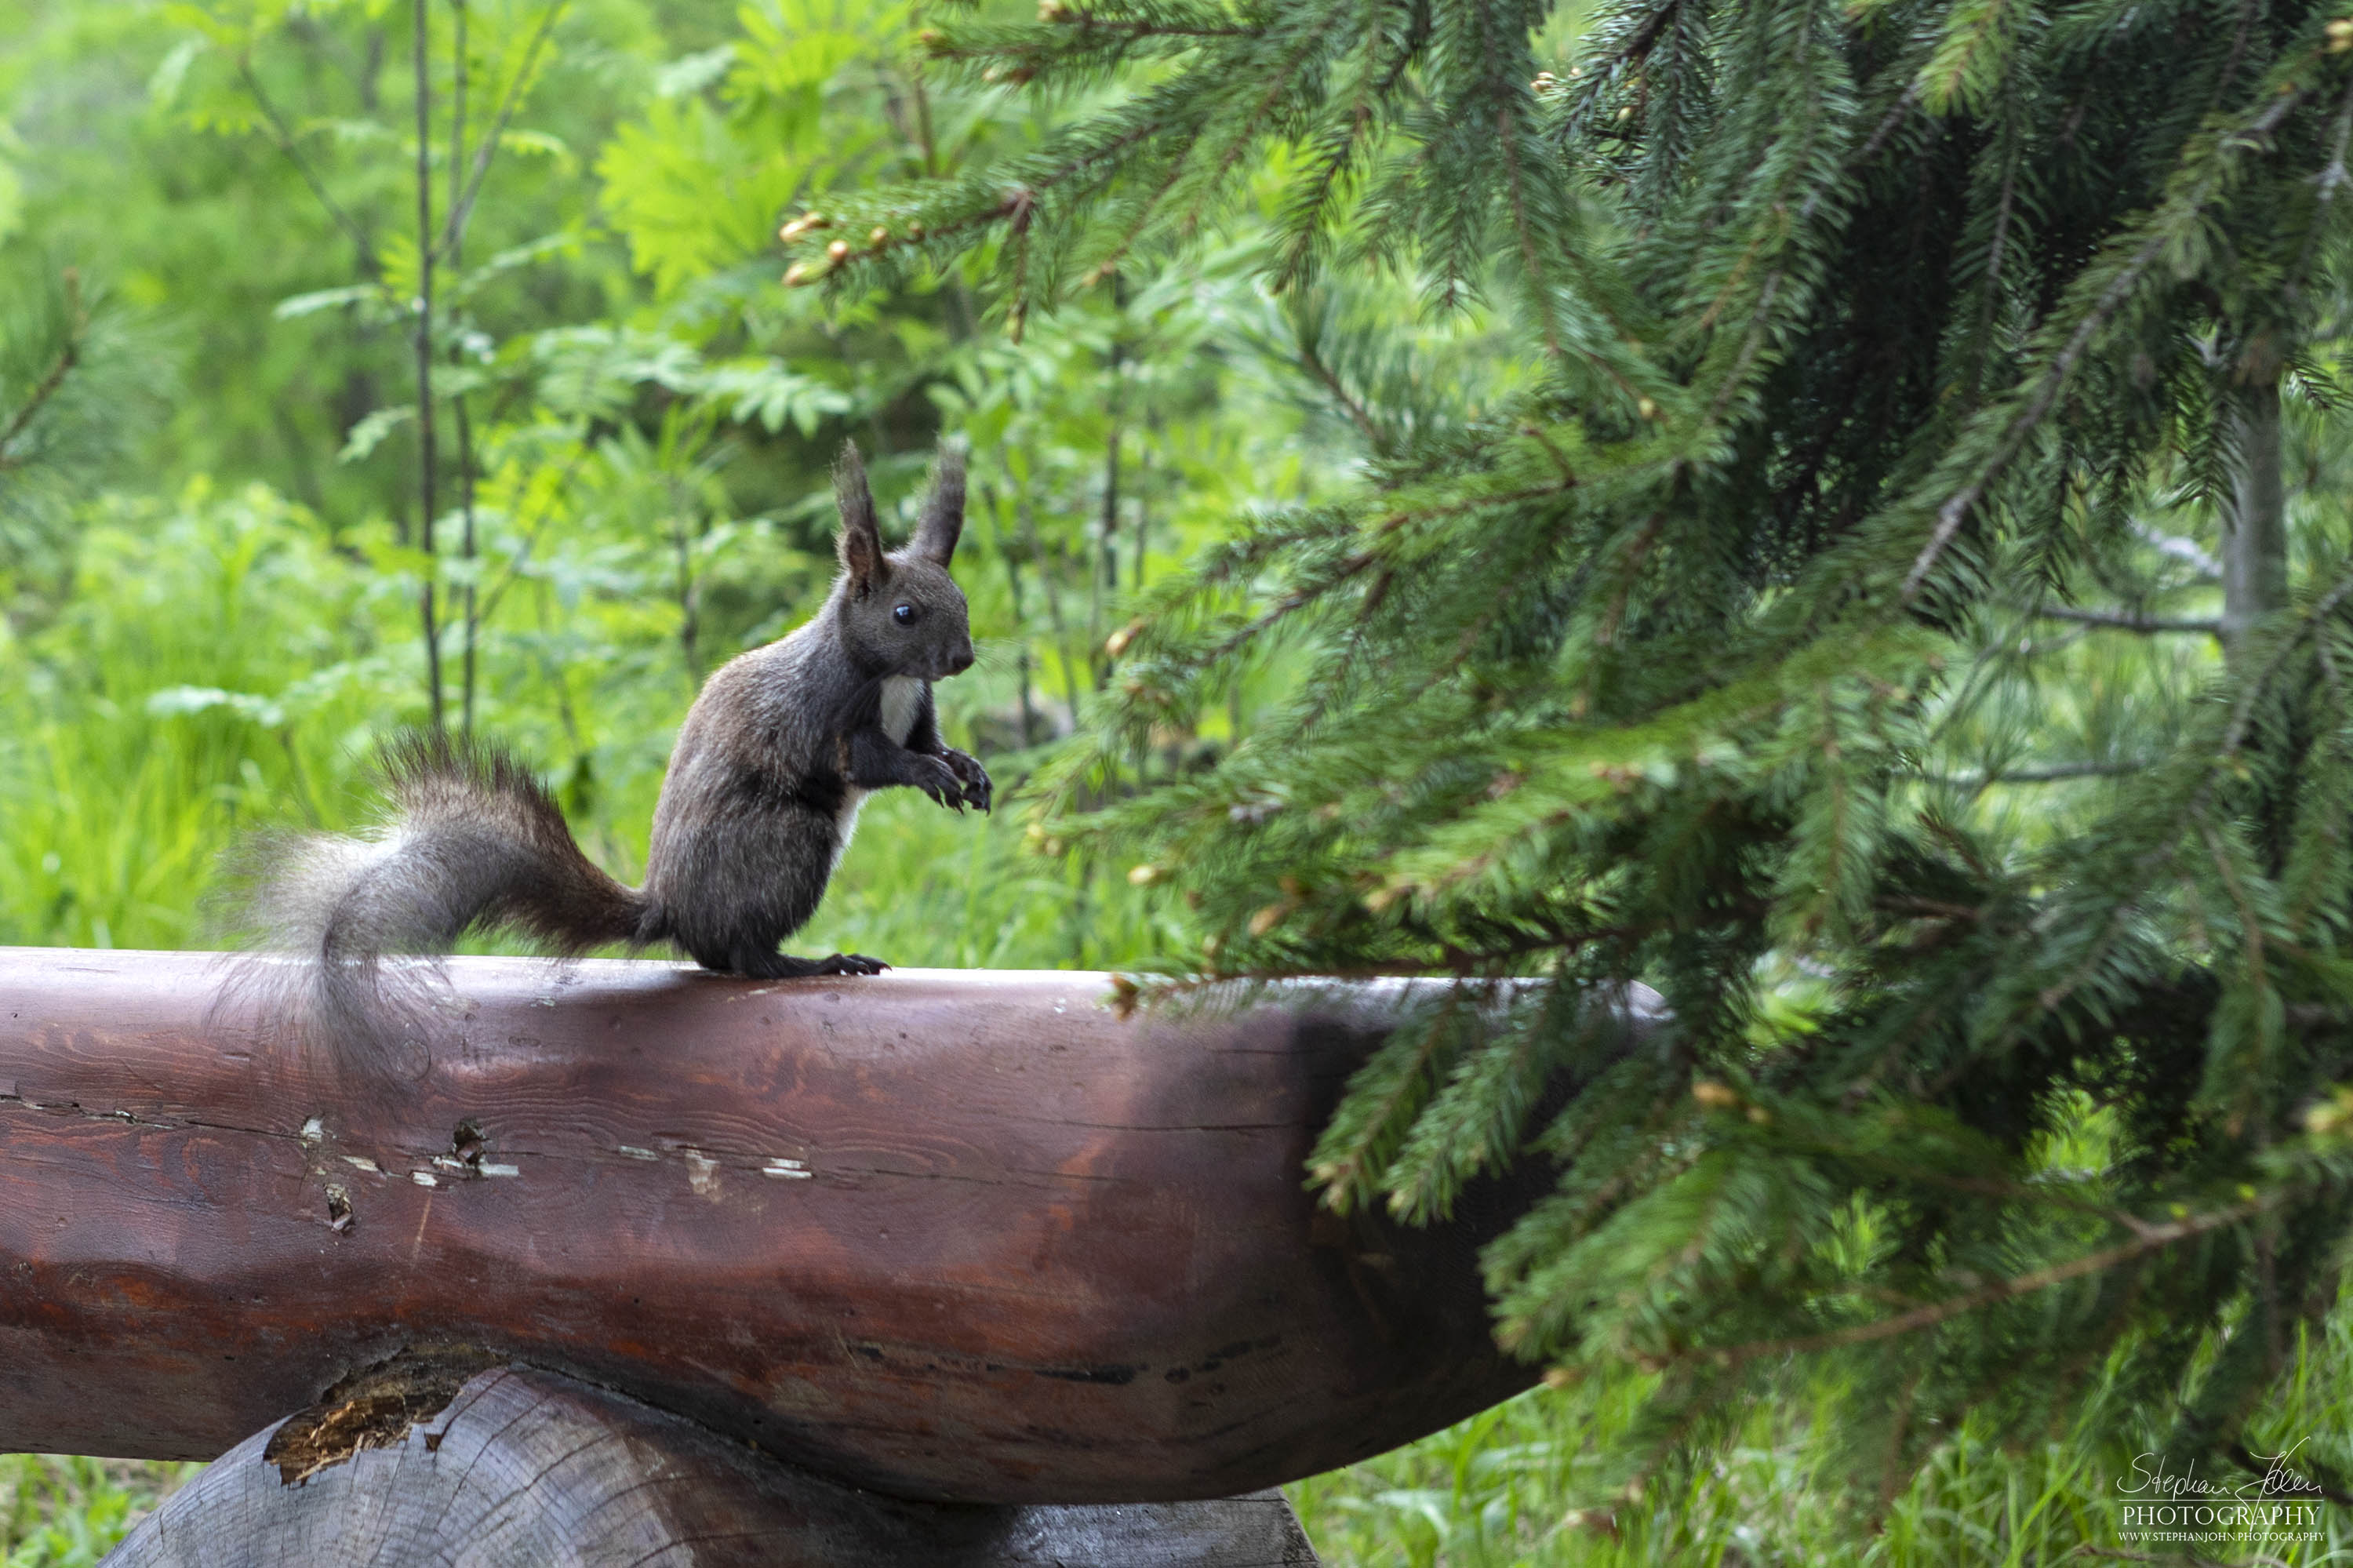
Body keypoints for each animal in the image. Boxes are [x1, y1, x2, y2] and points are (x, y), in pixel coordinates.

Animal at [245, 440, 993, 1064]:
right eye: (904, 613)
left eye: (961, 597)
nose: (961, 658)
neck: (888, 676)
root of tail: (670, 907)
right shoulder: (828, 716)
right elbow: (872, 762)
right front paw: (929, 774)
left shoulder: (916, 709)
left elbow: (930, 741)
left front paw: (967, 770)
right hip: (787, 843)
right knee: (743, 958)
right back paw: (816, 962)